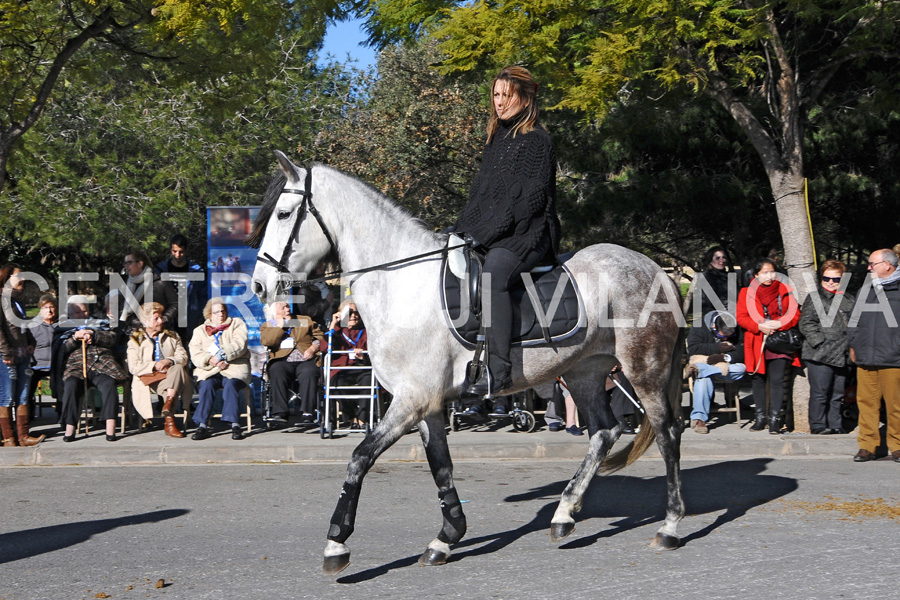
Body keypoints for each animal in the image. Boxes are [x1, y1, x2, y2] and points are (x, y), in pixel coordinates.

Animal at [250, 152, 684, 576]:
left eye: (284, 214)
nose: (258, 285)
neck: (401, 285)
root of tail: (653, 268)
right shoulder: (426, 404)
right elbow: (441, 466)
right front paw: (447, 537)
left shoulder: (411, 400)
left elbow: (360, 457)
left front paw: (336, 542)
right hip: (584, 372)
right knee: (605, 432)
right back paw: (564, 514)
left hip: (644, 370)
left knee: (666, 435)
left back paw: (669, 526)